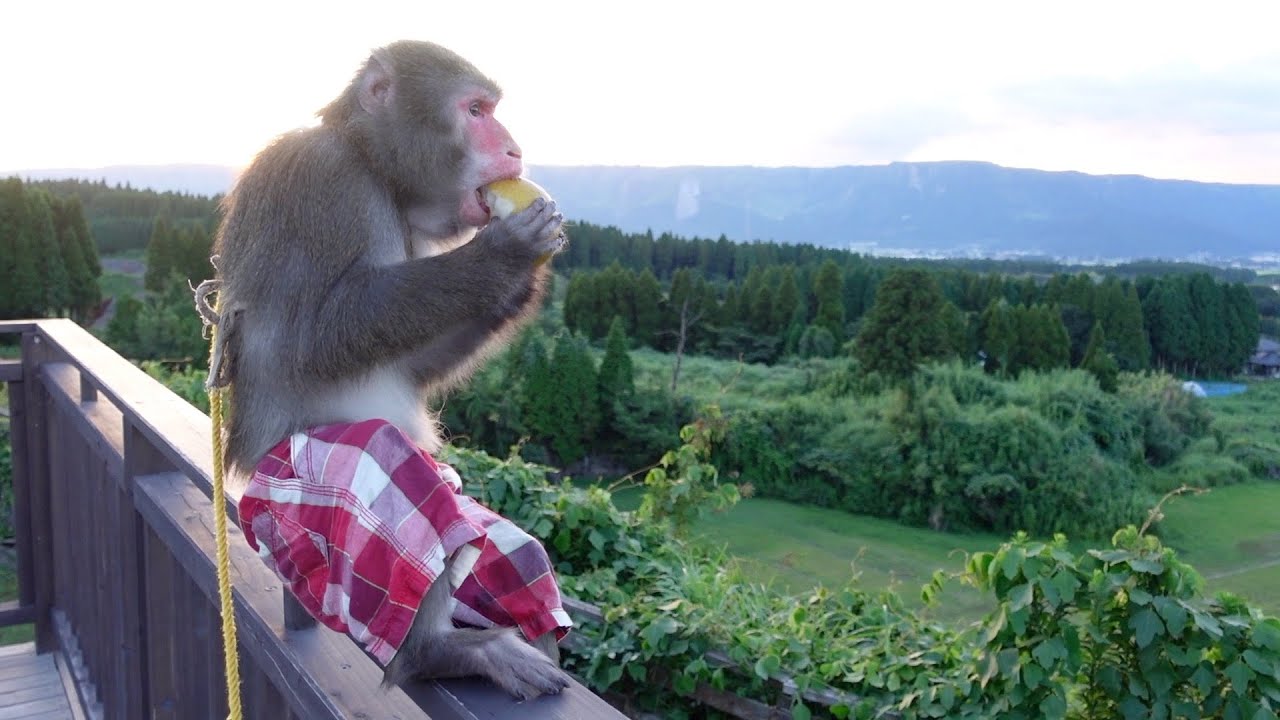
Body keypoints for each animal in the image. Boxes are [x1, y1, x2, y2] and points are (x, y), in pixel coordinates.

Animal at [206, 40, 569, 700]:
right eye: (476, 110)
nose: (514, 149)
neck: (373, 169)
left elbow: (411, 364)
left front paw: (523, 279)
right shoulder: (318, 181)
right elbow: (315, 338)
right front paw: (504, 254)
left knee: (501, 545)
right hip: (287, 507)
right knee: (386, 459)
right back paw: (434, 651)